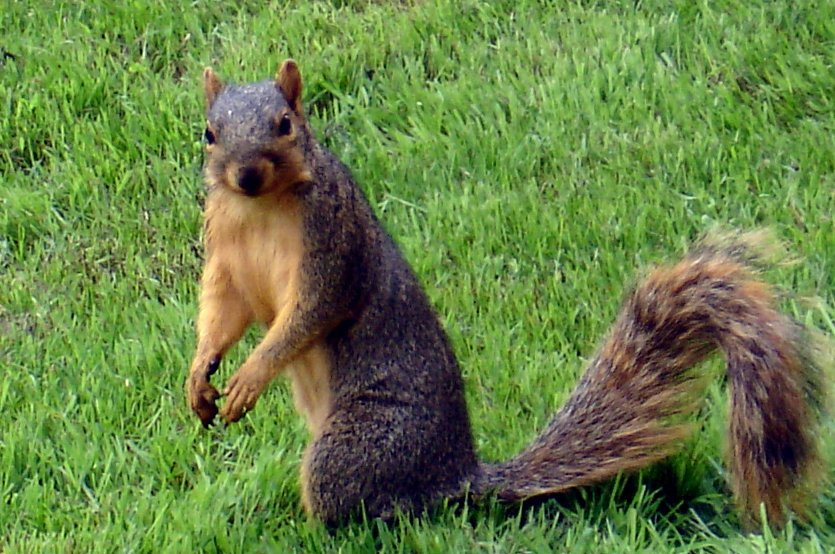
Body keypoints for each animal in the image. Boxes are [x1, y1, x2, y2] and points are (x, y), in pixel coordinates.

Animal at [186, 59, 827, 527]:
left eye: (285, 124)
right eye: (209, 133)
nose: (246, 175)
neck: (260, 207)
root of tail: (454, 475)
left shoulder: (333, 242)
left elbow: (309, 313)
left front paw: (250, 376)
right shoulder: (226, 252)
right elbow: (224, 312)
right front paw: (201, 375)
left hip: (360, 444)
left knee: (370, 510)